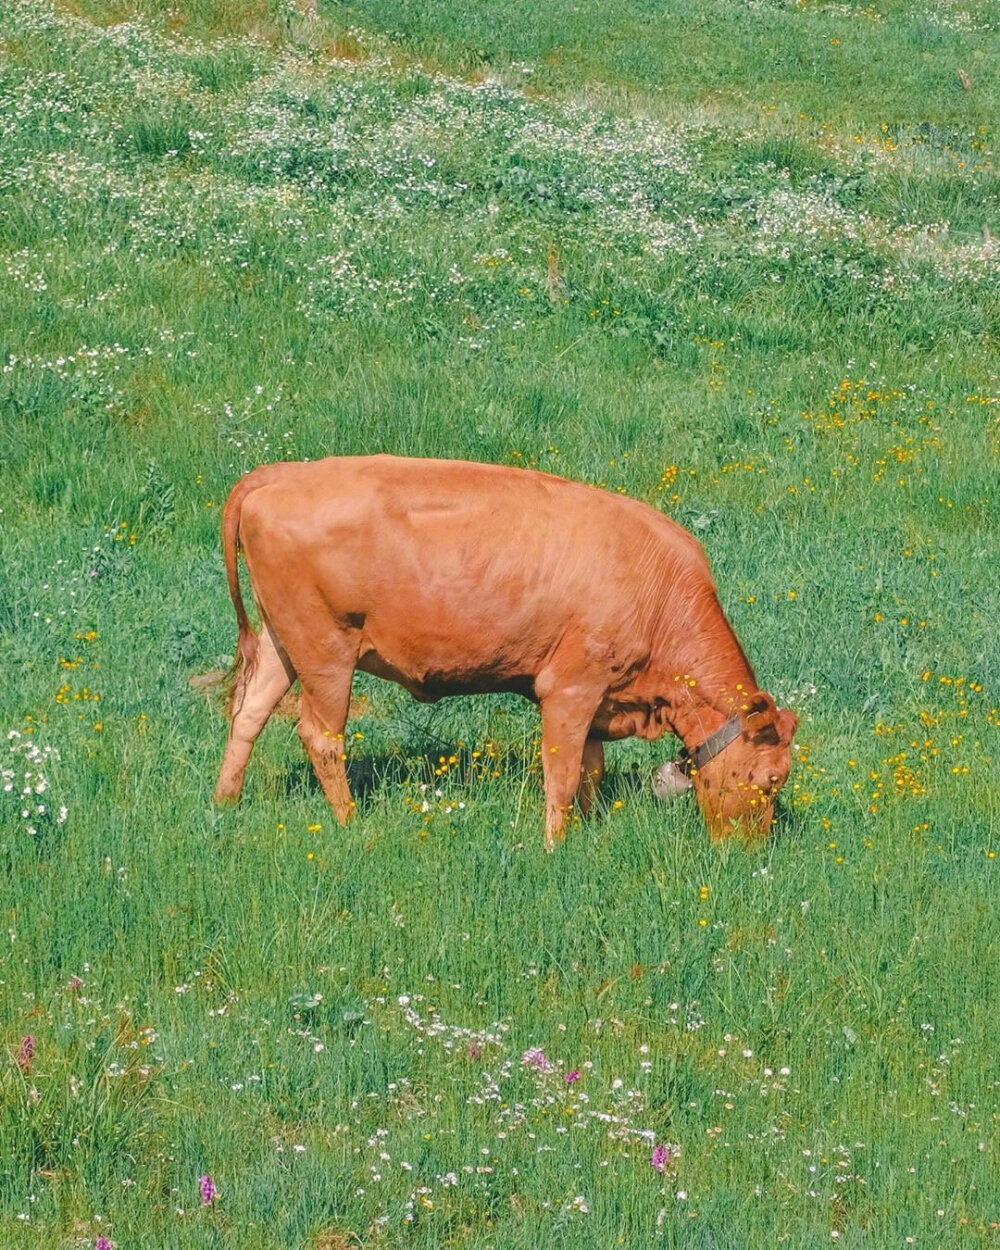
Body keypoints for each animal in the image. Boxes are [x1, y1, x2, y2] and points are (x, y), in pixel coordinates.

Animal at [212, 460, 795, 850]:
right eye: (771, 780)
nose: (751, 852)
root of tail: (283, 474)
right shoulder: (569, 689)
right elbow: (562, 774)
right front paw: (557, 847)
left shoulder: (600, 697)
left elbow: (591, 769)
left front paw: (591, 831)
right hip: (326, 651)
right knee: (319, 735)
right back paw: (350, 822)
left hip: (283, 642)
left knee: (248, 713)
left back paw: (225, 802)